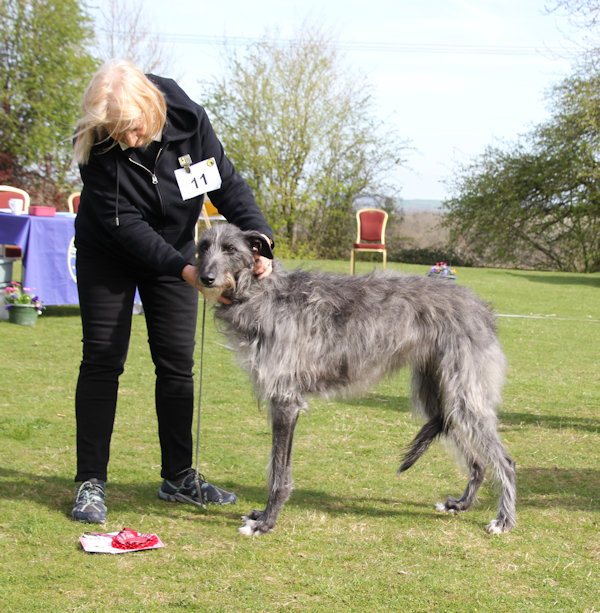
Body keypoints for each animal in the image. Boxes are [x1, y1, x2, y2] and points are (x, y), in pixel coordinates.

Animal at [196, 222, 516, 532]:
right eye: (202, 246)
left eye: (230, 249)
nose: (204, 278)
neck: (262, 294)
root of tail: (482, 309)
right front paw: (263, 516)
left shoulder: (285, 400)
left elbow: (278, 471)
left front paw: (266, 521)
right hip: (438, 394)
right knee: (477, 460)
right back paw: (461, 504)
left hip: (464, 393)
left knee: (506, 461)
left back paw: (503, 520)